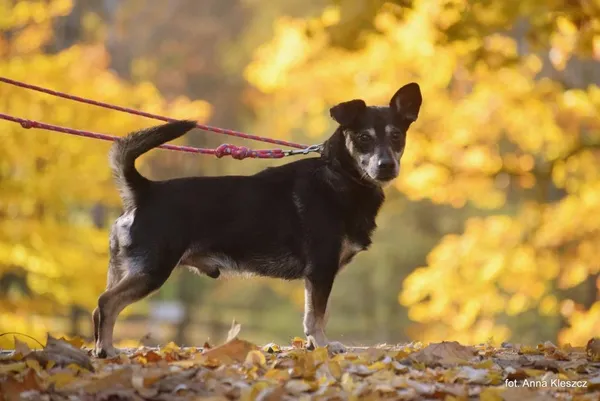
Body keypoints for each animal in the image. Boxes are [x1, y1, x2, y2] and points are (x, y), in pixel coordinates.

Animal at [94, 82, 422, 356]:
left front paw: (315, 345)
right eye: (364, 138)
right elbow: (317, 316)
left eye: (397, 136)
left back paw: (102, 347)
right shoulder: (321, 270)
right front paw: (324, 346)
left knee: (101, 308)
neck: (339, 175)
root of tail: (144, 191)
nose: (386, 165)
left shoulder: (318, 276)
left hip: (124, 269)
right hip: (152, 269)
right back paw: (107, 350)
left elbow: (314, 315)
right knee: (106, 303)